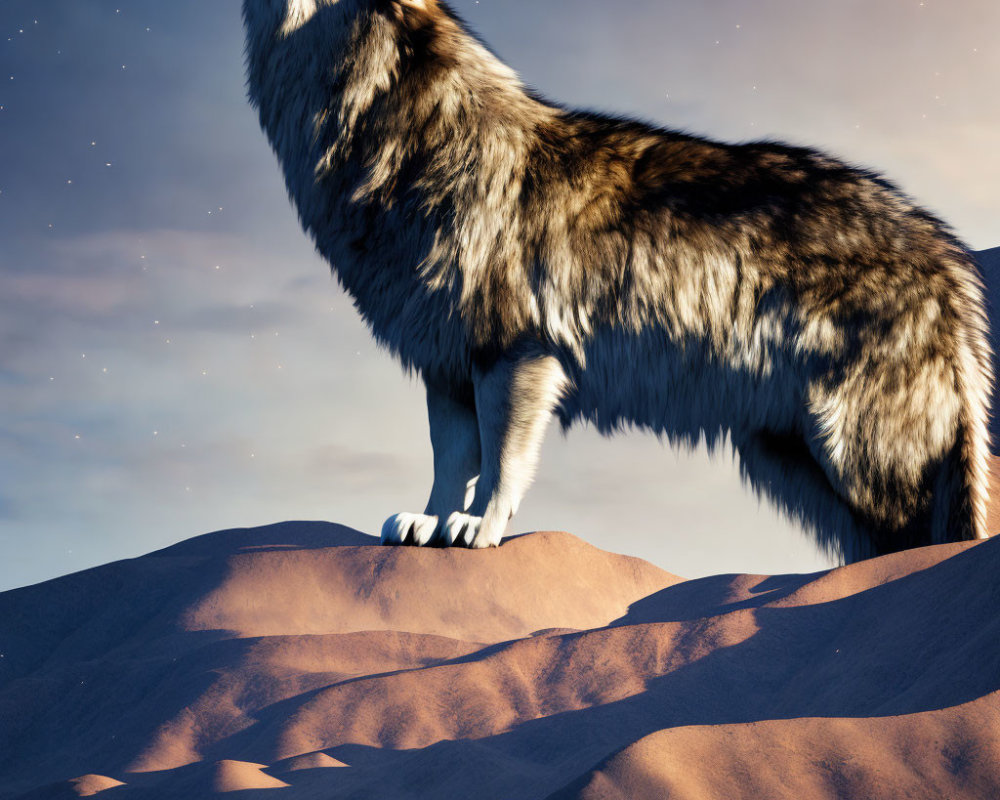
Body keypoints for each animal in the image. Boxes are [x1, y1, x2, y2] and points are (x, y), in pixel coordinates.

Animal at [242, 0, 992, 564]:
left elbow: (500, 463)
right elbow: (449, 462)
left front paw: (479, 528)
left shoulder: (516, 355)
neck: (406, 137)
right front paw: (429, 523)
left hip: (859, 459)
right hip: (795, 464)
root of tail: (949, 258)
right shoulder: (448, 367)